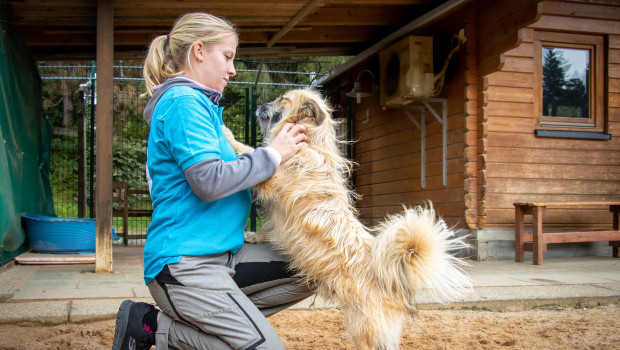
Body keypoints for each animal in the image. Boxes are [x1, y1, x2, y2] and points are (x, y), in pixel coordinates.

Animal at [223, 88, 470, 350]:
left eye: (282, 100)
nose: (260, 105)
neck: (310, 141)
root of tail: (389, 279)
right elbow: (266, 229)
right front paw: (253, 237)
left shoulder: (272, 176)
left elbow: (249, 150)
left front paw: (227, 133)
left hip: (363, 327)